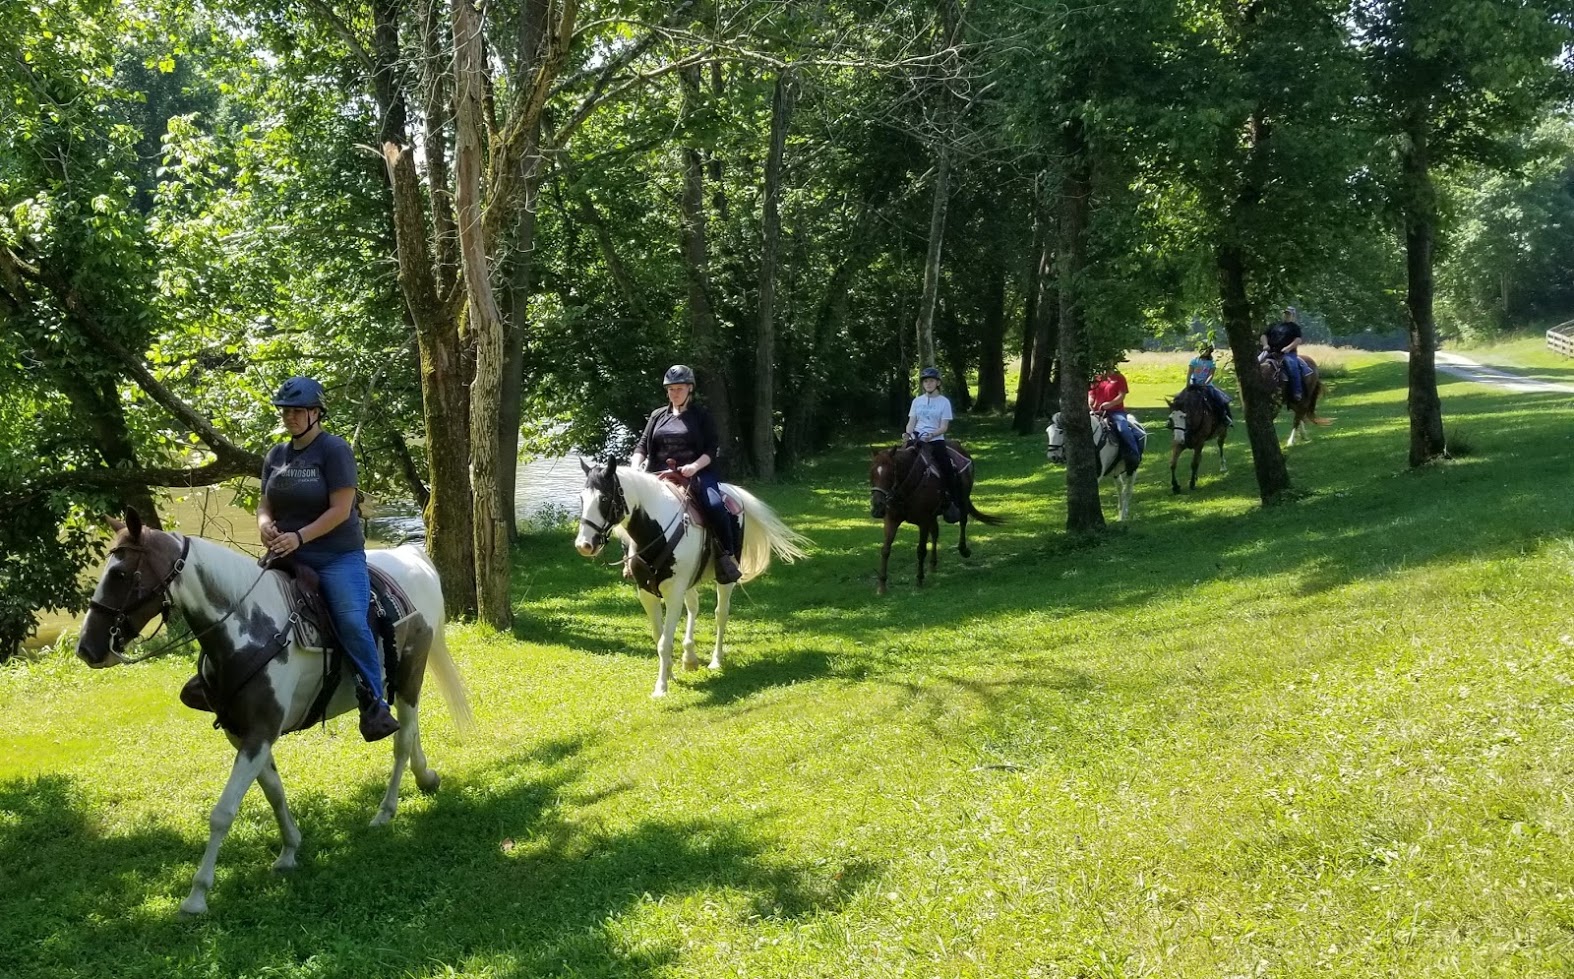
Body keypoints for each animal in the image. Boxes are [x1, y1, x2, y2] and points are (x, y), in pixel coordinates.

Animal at [75, 509, 474, 915]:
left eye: (120, 574)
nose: (87, 648)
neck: (249, 630)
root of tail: (412, 558)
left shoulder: (261, 732)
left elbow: (223, 813)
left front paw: (197, 895)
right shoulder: (242, 734)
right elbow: (274, 792)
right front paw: (289, 850)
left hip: (411, 673)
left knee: (402, 740)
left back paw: (385, 811)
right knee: (410, 731)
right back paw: (425, 777)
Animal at [573, 459, 808, 697]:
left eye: (604, 498)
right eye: (582, 498)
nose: (584, 545)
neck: (656, 531)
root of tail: (733, 491)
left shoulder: (673, 593)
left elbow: (665, 642)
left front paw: (661, 687)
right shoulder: (647, 593)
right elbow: (659, 637)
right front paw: (669, 674)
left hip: (724, 579)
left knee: (720, 614)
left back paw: (715, 660)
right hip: (689, 582)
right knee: (694, 607)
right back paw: (689, 658)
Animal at [868, 441, 1002, 595]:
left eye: (892, 473)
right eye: (871, 473)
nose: (878, 506)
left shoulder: (923, 521)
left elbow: (921, 550)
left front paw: (919, 580)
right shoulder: (892, 520)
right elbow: (885, 550)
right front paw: (882, 586)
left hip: (962, 500)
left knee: (962, 521)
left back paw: (963, 550)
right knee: (935, 533)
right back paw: (933, 565)